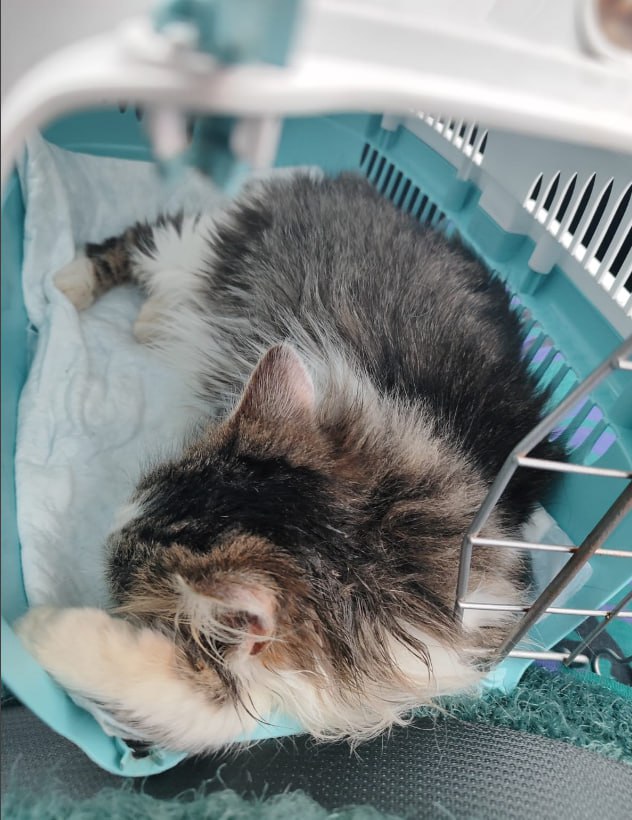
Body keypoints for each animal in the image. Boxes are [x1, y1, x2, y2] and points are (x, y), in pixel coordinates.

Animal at [15, 171, 562, 755]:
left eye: (116, 572)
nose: (110, 527)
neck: (375, 548)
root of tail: (356, 187)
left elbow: (212, 707)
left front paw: (40, 629)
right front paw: (33, 630)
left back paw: (148, 318)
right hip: (196, 247)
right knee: (141, 236)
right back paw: (68, 287)